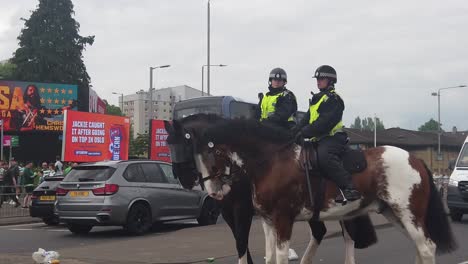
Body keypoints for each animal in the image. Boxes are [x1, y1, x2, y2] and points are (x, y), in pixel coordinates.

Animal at [191, 118, 458, 264]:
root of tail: (414, 159)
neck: (273, 161)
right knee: (420, 247)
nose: (213, 191)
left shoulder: (283, 220)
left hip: (409, 213)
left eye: (214, 152)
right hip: (394, 214)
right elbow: (270, 257)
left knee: (427, 247)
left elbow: (279, 257)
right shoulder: (268, 221)